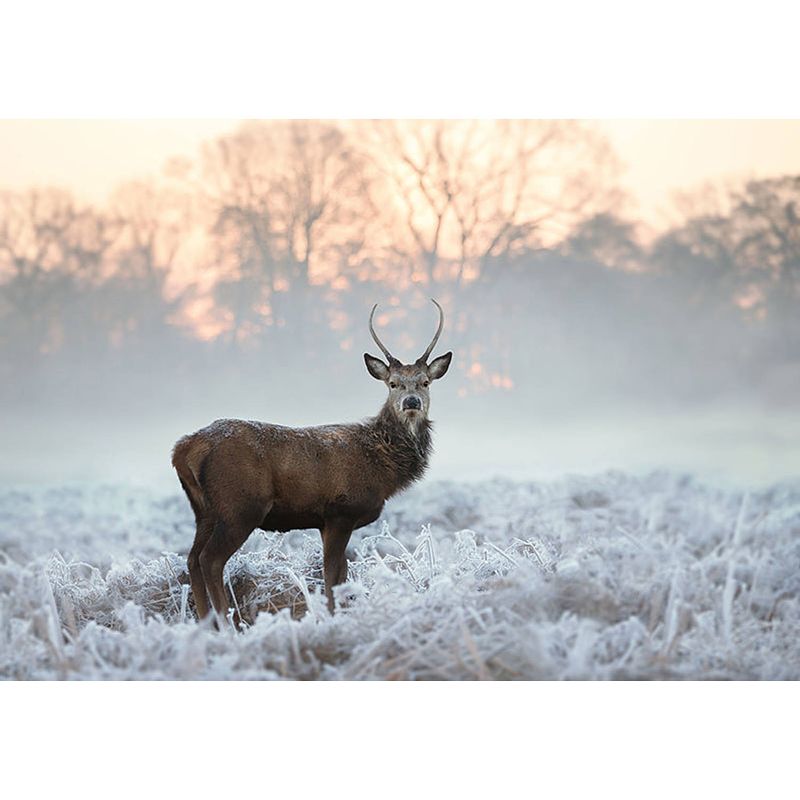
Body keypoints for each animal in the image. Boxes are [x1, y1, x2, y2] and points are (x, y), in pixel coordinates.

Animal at [171, 298, 454, 624]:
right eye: (393, 384)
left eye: (425, 382)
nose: (411, 402)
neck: (383, 469)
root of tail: (184, 448)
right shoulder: (341, 511)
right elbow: (331, 576)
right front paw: (332, 618)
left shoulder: (327, 521)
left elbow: (341, 574)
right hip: (240, 505)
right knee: (210, 559)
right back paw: (227, 622)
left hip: (204, 510)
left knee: (192, 558)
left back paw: (207, 624)